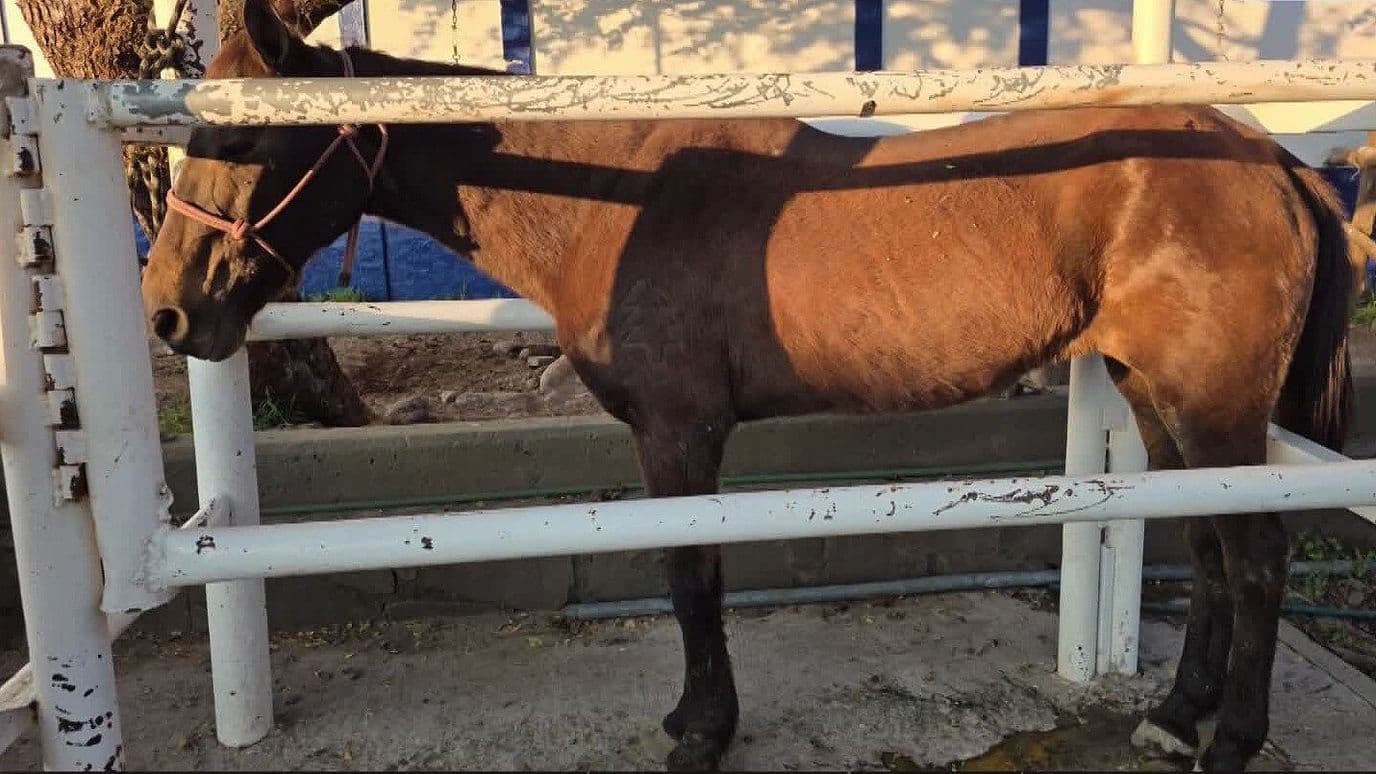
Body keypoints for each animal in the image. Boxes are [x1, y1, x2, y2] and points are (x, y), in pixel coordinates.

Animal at [141, 1, 1354, 769]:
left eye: (245, 141)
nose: (169, 311)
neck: (616, 203)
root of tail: (1273, 161)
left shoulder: (679, 433)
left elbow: (692, 578)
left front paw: (701, 730)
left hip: (1210, 404)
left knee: (1254, 559)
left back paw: (1232, 742)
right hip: (1159, 395)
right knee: (1209, 551)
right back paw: (1175, 718)